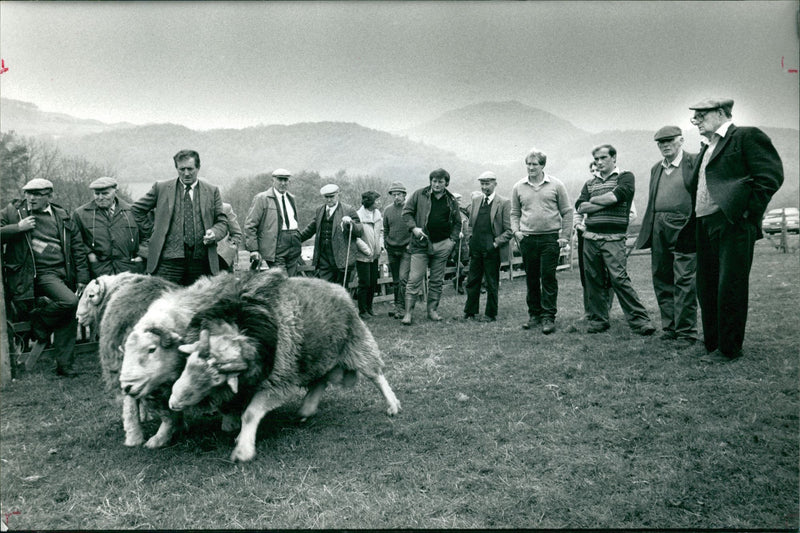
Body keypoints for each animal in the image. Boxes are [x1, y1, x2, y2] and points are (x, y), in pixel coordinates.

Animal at [170, 270, 404, 462]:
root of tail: (339, 288)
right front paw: (231, 426)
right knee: (320, 381)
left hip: (357, 343)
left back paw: (392, 404)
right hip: (315, 356)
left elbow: (251, 414)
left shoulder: (276, 382)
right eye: (188, 364)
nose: (173, 403)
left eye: (217, 377)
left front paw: (243, 450)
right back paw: (306, 409)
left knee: (376, 374)